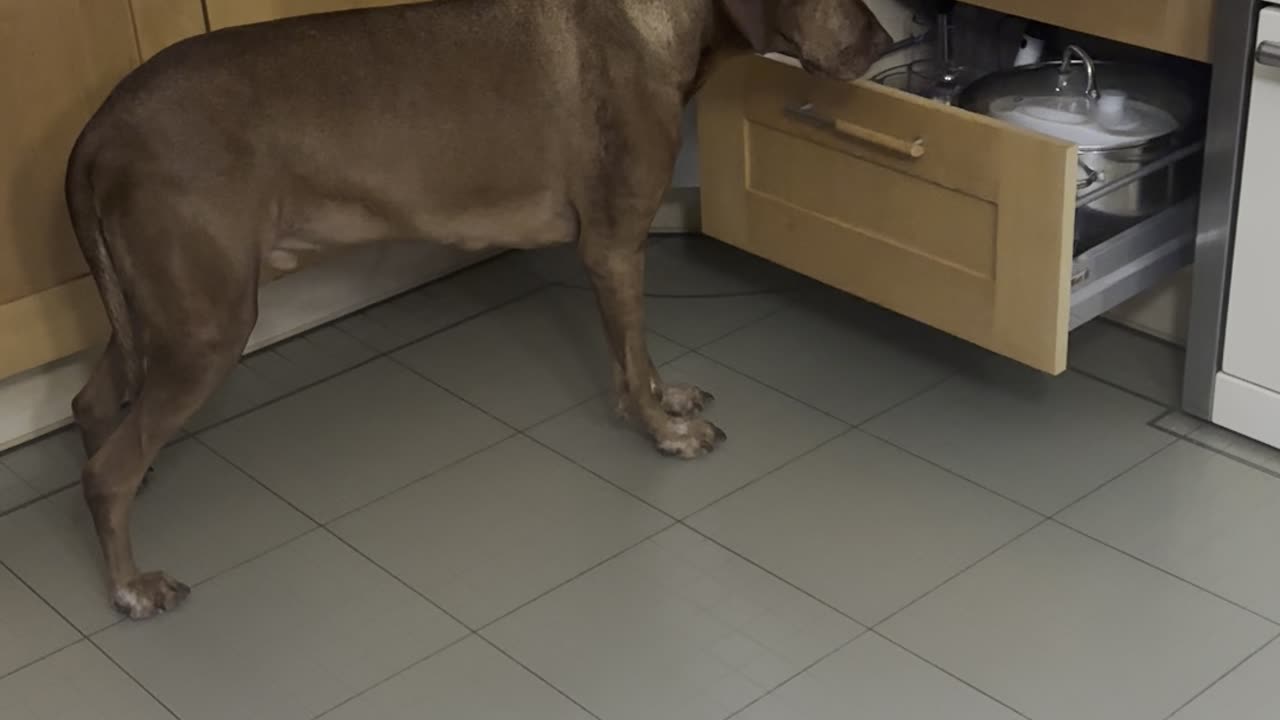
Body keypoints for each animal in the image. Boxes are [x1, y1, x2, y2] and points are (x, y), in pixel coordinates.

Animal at [64, 0, 896, 617]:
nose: (888, 40)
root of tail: (100, 124)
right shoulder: (613, 244)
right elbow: (631, 359)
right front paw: (663, 431)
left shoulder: (619, 250)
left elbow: (637, 354)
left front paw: (669, 398)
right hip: (210, 325)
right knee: (106, 470)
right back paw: (130, 587)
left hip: (154, 312)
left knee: (90, 403)